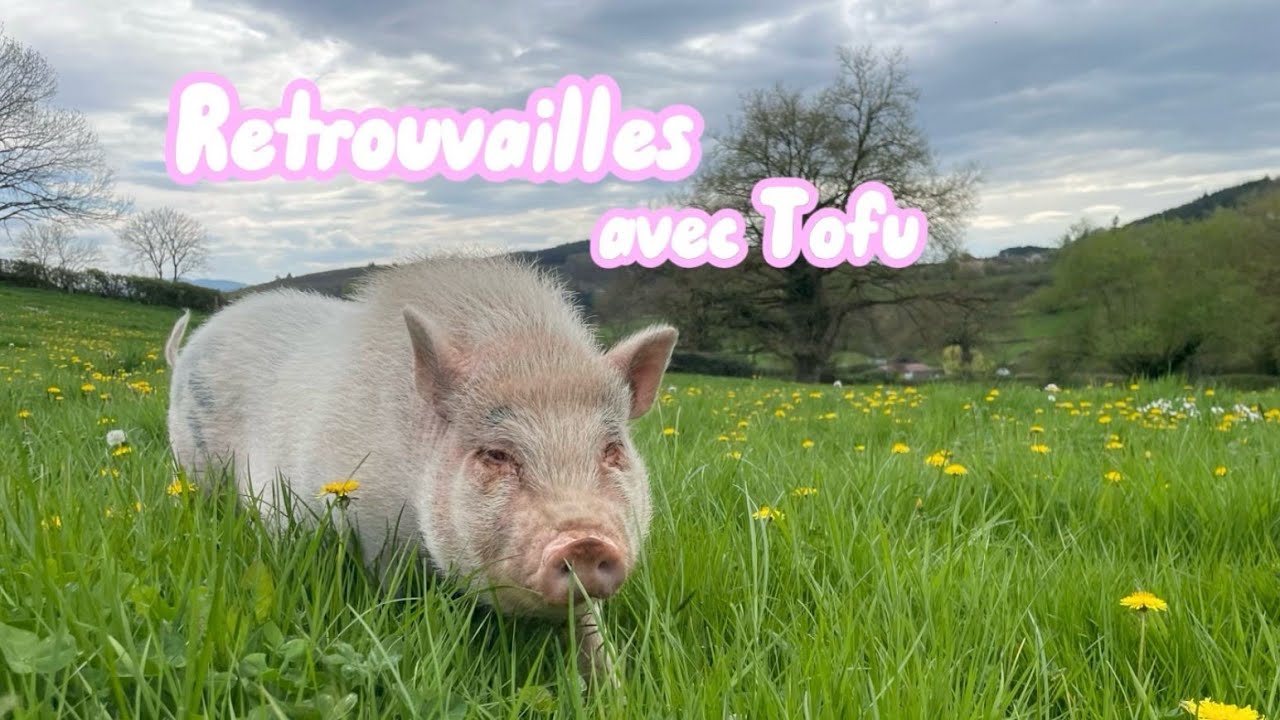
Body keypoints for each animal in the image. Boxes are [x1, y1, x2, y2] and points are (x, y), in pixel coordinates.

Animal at [163, 253, 678, 682]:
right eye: (496, 454)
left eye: (611, 448)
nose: (585, 541)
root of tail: (191, 346)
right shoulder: (373, 534)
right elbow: (393, 598)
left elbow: (589, 626)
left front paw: (612, 686)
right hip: (196, 464)